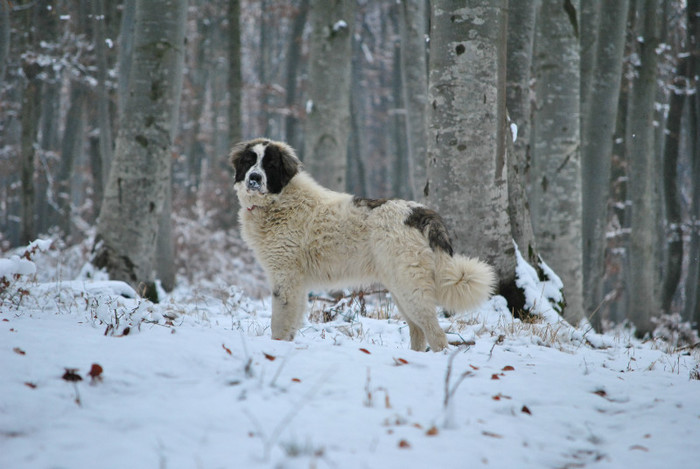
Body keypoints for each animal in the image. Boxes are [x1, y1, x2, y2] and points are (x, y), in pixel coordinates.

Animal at [227, 137, 494, 350]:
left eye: (270, 165)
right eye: (250, 162)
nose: (254, 178)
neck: (278, 201)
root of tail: (421, 213)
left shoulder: (285, 277)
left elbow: (279, 322)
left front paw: (276, 347)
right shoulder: (296, 284)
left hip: (410, 288)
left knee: (436, 333)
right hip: (400, 289)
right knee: (418, 331)